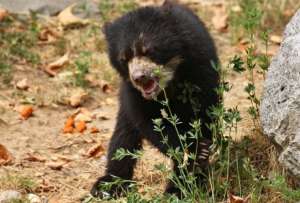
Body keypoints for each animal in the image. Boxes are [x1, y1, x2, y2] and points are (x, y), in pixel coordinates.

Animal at [90, 0, 219, 198]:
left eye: (148, 50)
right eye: (124, 58)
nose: (139, 77)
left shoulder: (199, 65)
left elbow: (204, 111)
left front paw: (196, 164)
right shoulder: (132, 92)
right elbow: (148, 121)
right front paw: (193, 150)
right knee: (123, 137)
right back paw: (108, 184)